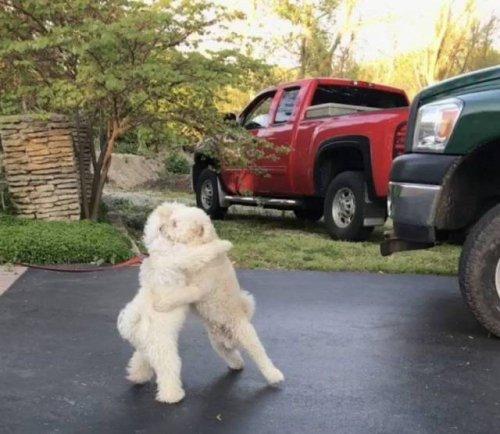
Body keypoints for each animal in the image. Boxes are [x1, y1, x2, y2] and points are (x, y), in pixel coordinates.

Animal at [116, 203, 230, 404]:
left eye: (174, 223)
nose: (164, 228)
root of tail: (134, 326)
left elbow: (150, 229)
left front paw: (166, 208)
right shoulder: (183, 256)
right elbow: (202, 252)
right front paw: (223, 244)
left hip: (146, 349)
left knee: (140, 361)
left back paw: (137, 377)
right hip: (164, 351)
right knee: (168, 372)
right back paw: (173, 396)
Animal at [154, 204, 284, 386]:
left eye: (175, 224)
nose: (160, 228)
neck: (199, 244)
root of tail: (231, 338)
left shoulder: (197, 289)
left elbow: (182, 293)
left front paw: (163, 303)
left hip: (247, 336)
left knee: (260, 355)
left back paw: (274, 375)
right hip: (217, 343)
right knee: (233, 355)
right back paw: (236, 365)